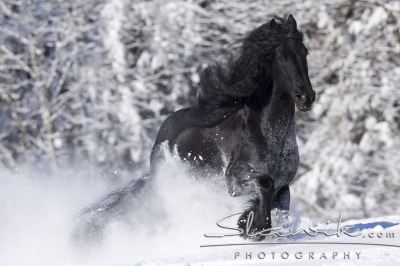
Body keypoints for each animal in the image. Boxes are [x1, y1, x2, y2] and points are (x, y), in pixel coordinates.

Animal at [76, 14, 316, 242]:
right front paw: (252, 228)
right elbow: (265, 186)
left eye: (305, 52)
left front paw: (251, 224)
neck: (271, 136)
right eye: (282, 57)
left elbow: (276, 205)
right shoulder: (235, 180)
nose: (306, 97)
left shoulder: (283, 186)